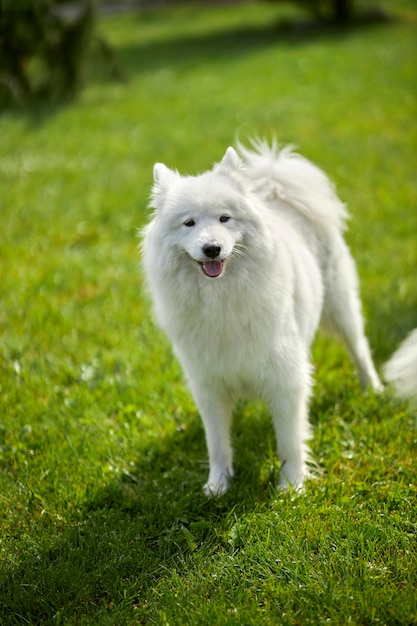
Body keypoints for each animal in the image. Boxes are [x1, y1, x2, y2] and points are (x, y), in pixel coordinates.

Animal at [141, 140, 382, 492]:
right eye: (189, 223)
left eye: (224, 219)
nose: (212, 248)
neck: (222, 301)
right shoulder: (208, 384)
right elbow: (217, 443)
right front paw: (218, 485)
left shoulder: (285, 378)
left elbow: (289, 441)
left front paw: (291, 486)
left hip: (340, 308)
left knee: (359, 348)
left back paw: (373, 389)